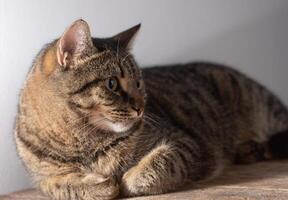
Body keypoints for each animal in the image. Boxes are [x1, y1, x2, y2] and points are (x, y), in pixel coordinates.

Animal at [14, 19, 288, 200]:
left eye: (138, 83)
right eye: (112, 84)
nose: (140, 108)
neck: (84, 142)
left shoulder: (184, 143)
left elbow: (156, 164)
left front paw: (126, 179)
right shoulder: (43, 177)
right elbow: (60, 185)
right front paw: (99, 184)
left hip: (258, 102)